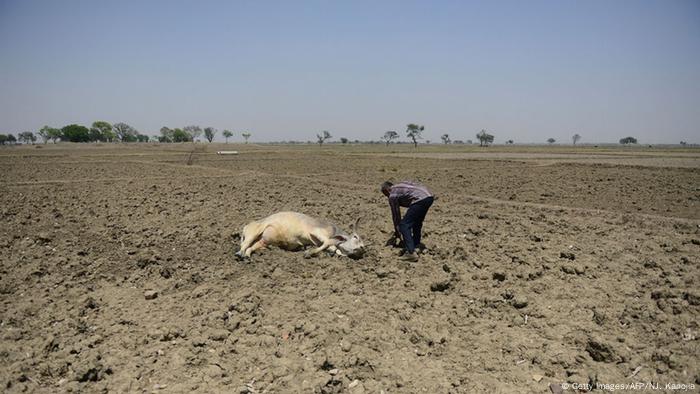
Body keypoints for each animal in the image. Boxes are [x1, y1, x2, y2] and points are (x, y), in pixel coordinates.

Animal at [235, 211, 366, 260]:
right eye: (356, 237)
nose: (363, 248)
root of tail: (247, 225)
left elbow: (331, 248)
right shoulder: (316, 232)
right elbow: (326, 243)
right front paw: (309, 252)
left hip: (262, 241)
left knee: (251, 247)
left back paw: (247, 255)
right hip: (253, 232)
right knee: (244, 244)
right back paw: (239, 254)